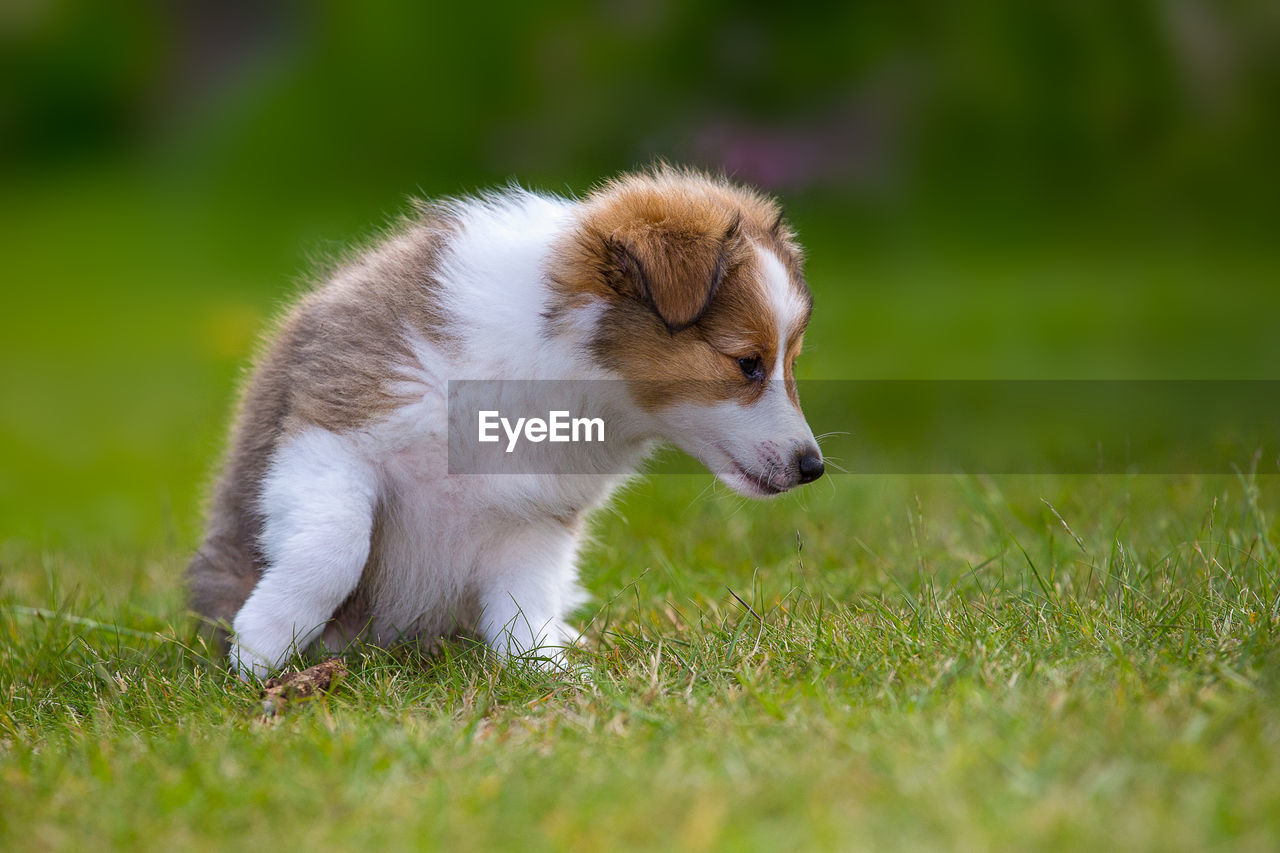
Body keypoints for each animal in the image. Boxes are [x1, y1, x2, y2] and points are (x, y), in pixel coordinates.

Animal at [189, 166, 824, 676]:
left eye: (790, 362)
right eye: (747, 363)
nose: (813, 466)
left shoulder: (534, 514)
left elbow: (525, 609)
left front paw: (552, 673)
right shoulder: (335, 432)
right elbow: (335, 548)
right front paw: (262, 647)